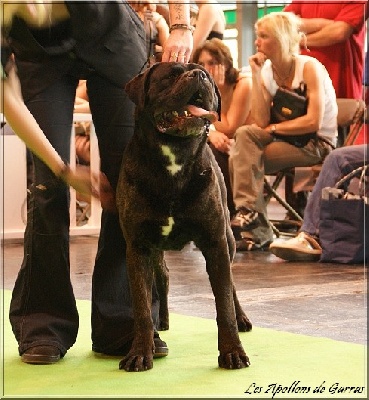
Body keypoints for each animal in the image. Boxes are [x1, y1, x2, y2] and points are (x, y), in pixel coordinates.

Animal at [116, 62, 252, 372]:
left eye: (210, 78)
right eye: (170, 75)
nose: (199, 75)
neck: (174, 158)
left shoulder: (215, 243)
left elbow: (224, 303)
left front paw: (233, 352)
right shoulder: (138, 247)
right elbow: (142, 307)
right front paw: (140, 353)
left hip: (228, 239)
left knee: (232, 285)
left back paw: (242, 318)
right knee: (163, 277)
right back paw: (162, 321)